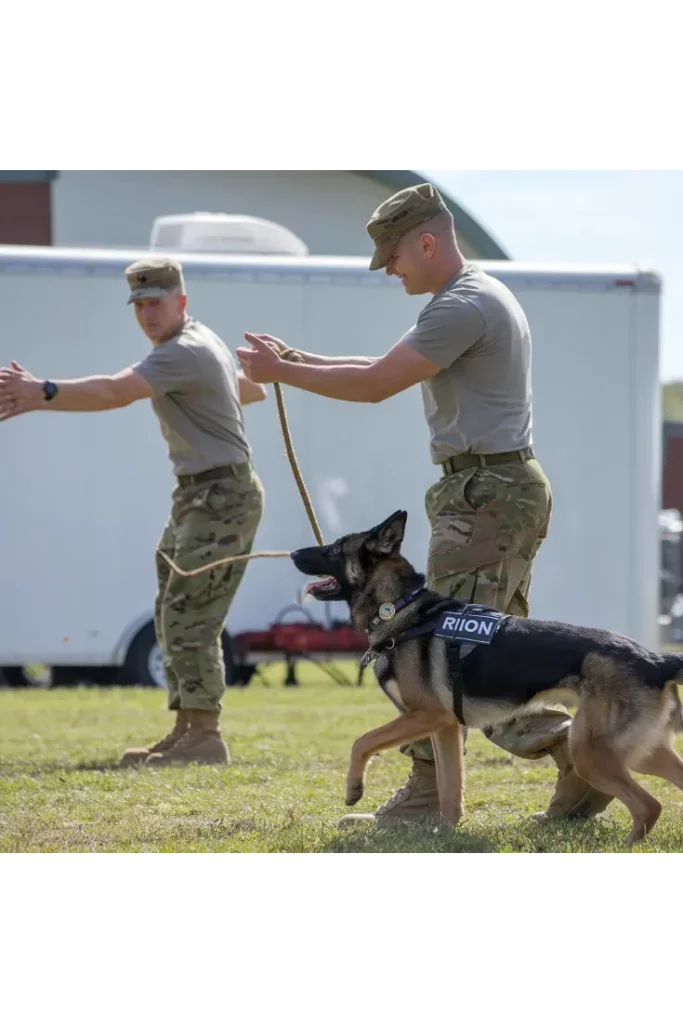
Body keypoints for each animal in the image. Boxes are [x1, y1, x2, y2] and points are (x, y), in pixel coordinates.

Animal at [290, 507, 683, 843]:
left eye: (334, 548)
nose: (292, 553)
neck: (399, 609)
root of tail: (654, 658)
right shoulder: (445, 726)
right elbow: (450, 788)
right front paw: (446, 835)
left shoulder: (426, 716)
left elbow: (362, 741)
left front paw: (354, 789)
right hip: (638, 752)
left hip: (593, 752)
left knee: (649, 805)